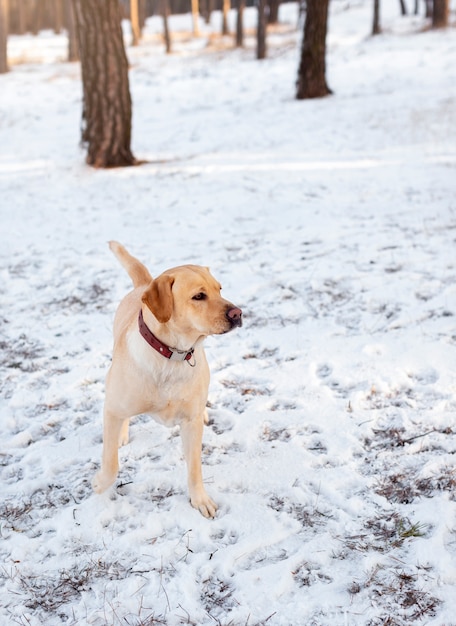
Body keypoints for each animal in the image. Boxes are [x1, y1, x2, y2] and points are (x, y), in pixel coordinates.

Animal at [91, 241, 242, 516]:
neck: (172, 356)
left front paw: (200, 500)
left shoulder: (191, 424)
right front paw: (99, 483)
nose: (238, 313)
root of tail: (144, 285)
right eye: (199, 296)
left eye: (219, 289)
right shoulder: (112, 408)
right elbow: (111, 462)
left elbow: (194, 468)